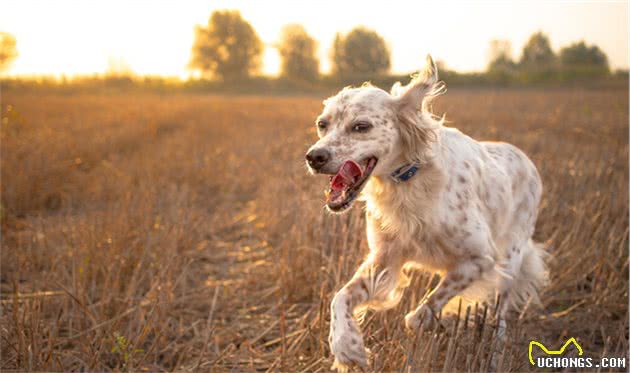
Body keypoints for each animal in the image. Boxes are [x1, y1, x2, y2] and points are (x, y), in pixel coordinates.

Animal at [304, 54, 548, 370]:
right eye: (322, 124)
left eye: (361, 126)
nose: (314, 157)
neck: (409, 185)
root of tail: (524, 157)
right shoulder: (385, 259)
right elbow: (340, 297)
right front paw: (347, 346)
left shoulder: (480, 258)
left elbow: (420, 315)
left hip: (510, 261)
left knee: (500, 320)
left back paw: (495, 357)